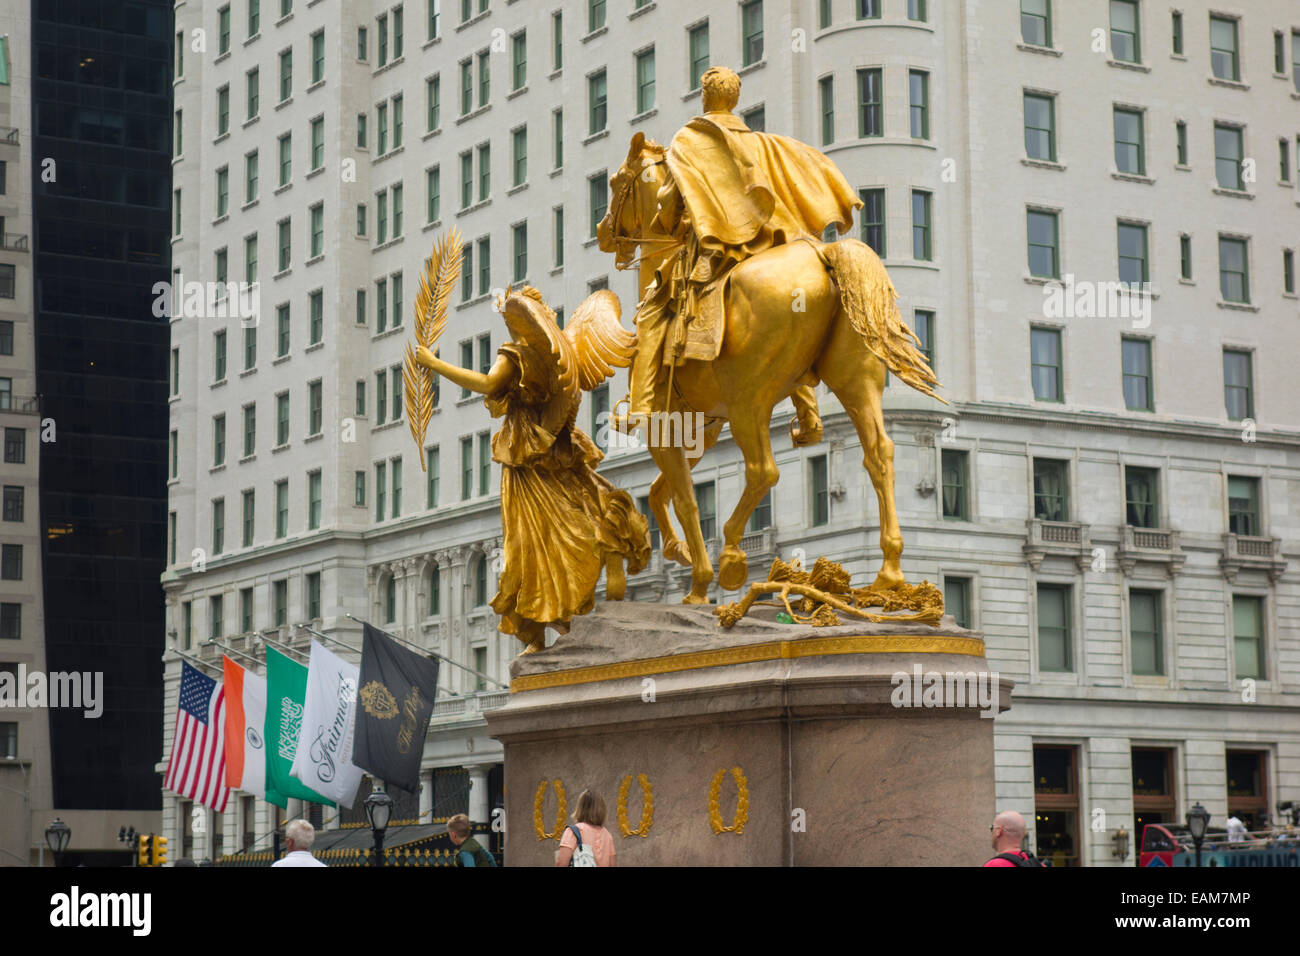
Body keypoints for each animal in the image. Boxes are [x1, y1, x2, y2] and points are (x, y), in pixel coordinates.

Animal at [598, 132, 946, 606]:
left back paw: (731, 556)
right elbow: (658, 492)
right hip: (855, 383)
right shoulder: (702, 429)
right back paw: (888, 574)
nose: (603, 233)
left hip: (751, 404)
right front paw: (677, 552)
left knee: (764, 470)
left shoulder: (663, 423)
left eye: (618, 181)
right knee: (879, 454)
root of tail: (824, 251)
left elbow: (686, 500)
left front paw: (698, 582)